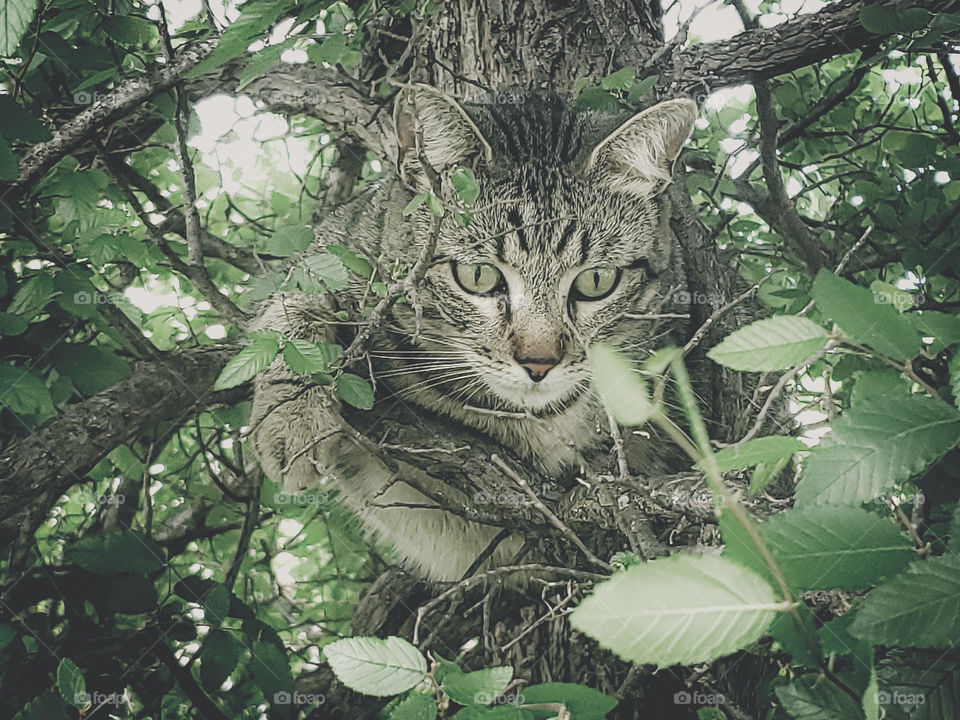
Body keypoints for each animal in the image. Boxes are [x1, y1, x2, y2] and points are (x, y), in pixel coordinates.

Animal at [248, 86, 696, 580]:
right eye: (478, 276)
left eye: (596, 282)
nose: (539, 362)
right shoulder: (332, 255)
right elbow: (292, 315)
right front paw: (290, 419)